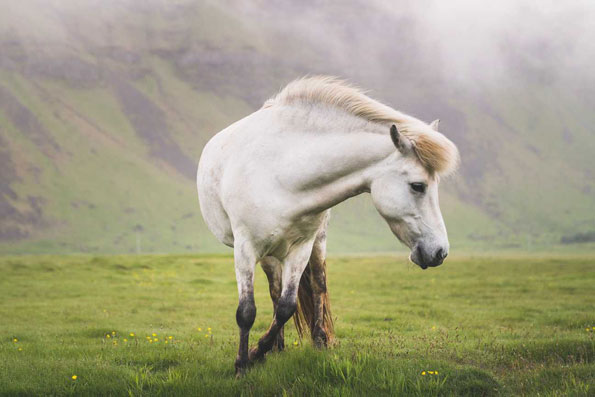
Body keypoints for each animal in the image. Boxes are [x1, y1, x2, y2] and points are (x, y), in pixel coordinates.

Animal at [197, 75, 460, 374]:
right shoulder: (245, 248)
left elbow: (286, 306)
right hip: (267, 254)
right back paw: (276, 348)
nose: (439, 252)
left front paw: (256, 352)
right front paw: (243, 363)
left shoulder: (301, 247)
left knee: (315, 285)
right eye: (418, 185)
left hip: (312, 244)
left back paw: (315, 341)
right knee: (273, 290)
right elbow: (247, 311)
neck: (283, 173)